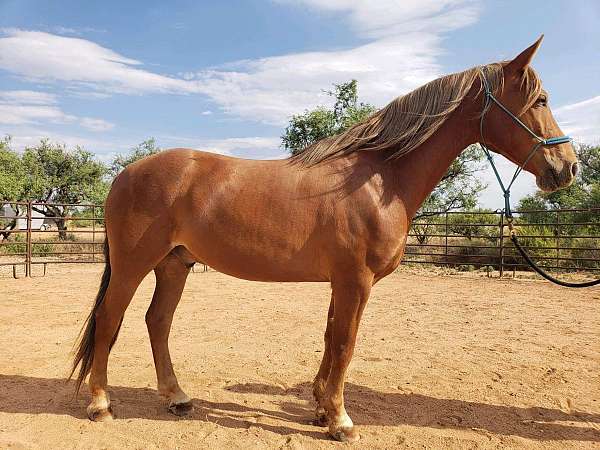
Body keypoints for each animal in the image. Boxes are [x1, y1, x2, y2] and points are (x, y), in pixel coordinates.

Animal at [69, 36, 576, 442]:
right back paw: (101, 404)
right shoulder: (356, 281)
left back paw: (176, 396)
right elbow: (346, 343)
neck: (379, 179)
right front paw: (340, 421)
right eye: (541, 99)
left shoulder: (342, 281)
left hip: (174, 264)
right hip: (135, 265)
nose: (568, 167)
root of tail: (125, 174)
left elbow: (332, 338)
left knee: (158, 322)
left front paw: (319, 408)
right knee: (110, 319)